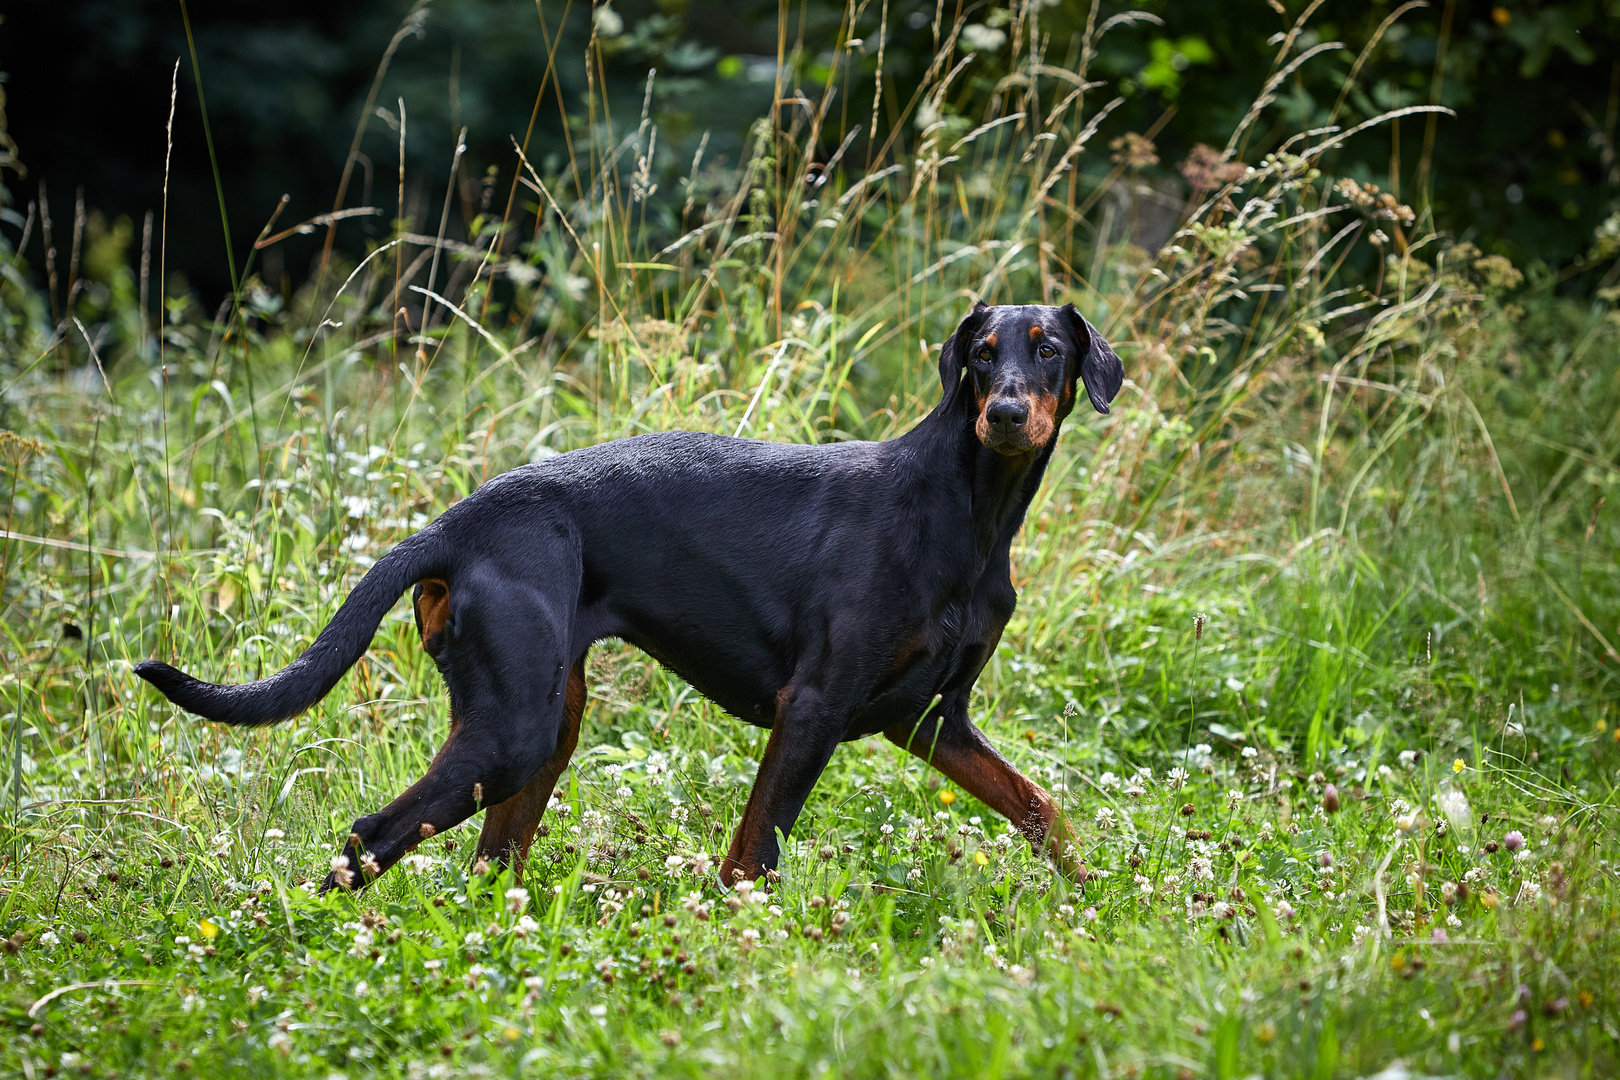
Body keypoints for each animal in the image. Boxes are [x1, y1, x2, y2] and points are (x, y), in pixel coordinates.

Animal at [136, 299, 1127, 893]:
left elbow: (1042, 809)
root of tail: (457, 524)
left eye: (1047, 350)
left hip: (541, 736)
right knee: (372, 834)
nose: (1005, 414)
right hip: (513, 734)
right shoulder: (811, 709)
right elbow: (753, 856)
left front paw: (1095, 900)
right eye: (982, 355)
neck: (970, 511)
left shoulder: (932, 720)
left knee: (487, 864)